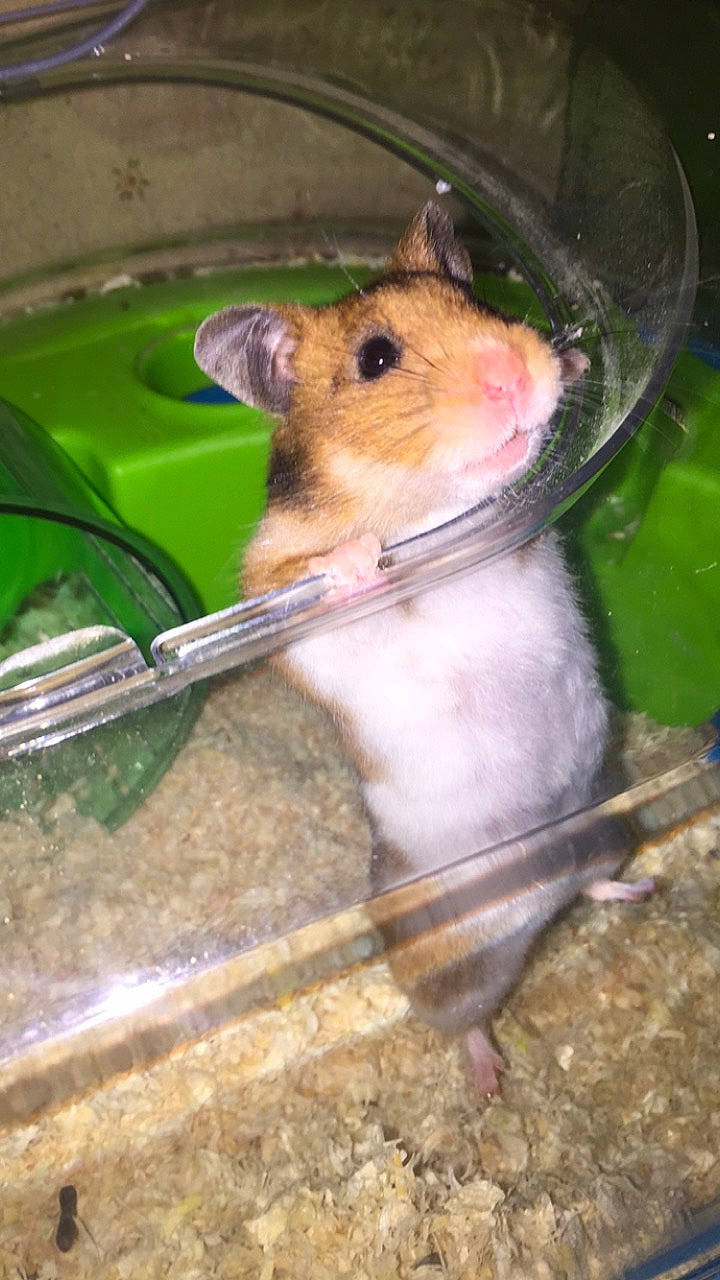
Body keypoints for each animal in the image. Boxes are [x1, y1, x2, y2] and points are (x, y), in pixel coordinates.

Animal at [194, 202, 653, 1092]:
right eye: (376, 358)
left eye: (477, 304)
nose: (516, 374)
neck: (421, 501)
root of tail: (542, 896)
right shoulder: (284, 609)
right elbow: (323, 587)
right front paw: (354, 561)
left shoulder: (521, 536)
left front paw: (576, 360)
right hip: (453, 957)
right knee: (457, 1014)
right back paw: (488, 1081)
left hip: (609, 825)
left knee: (591, 886)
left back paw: (638, 893)